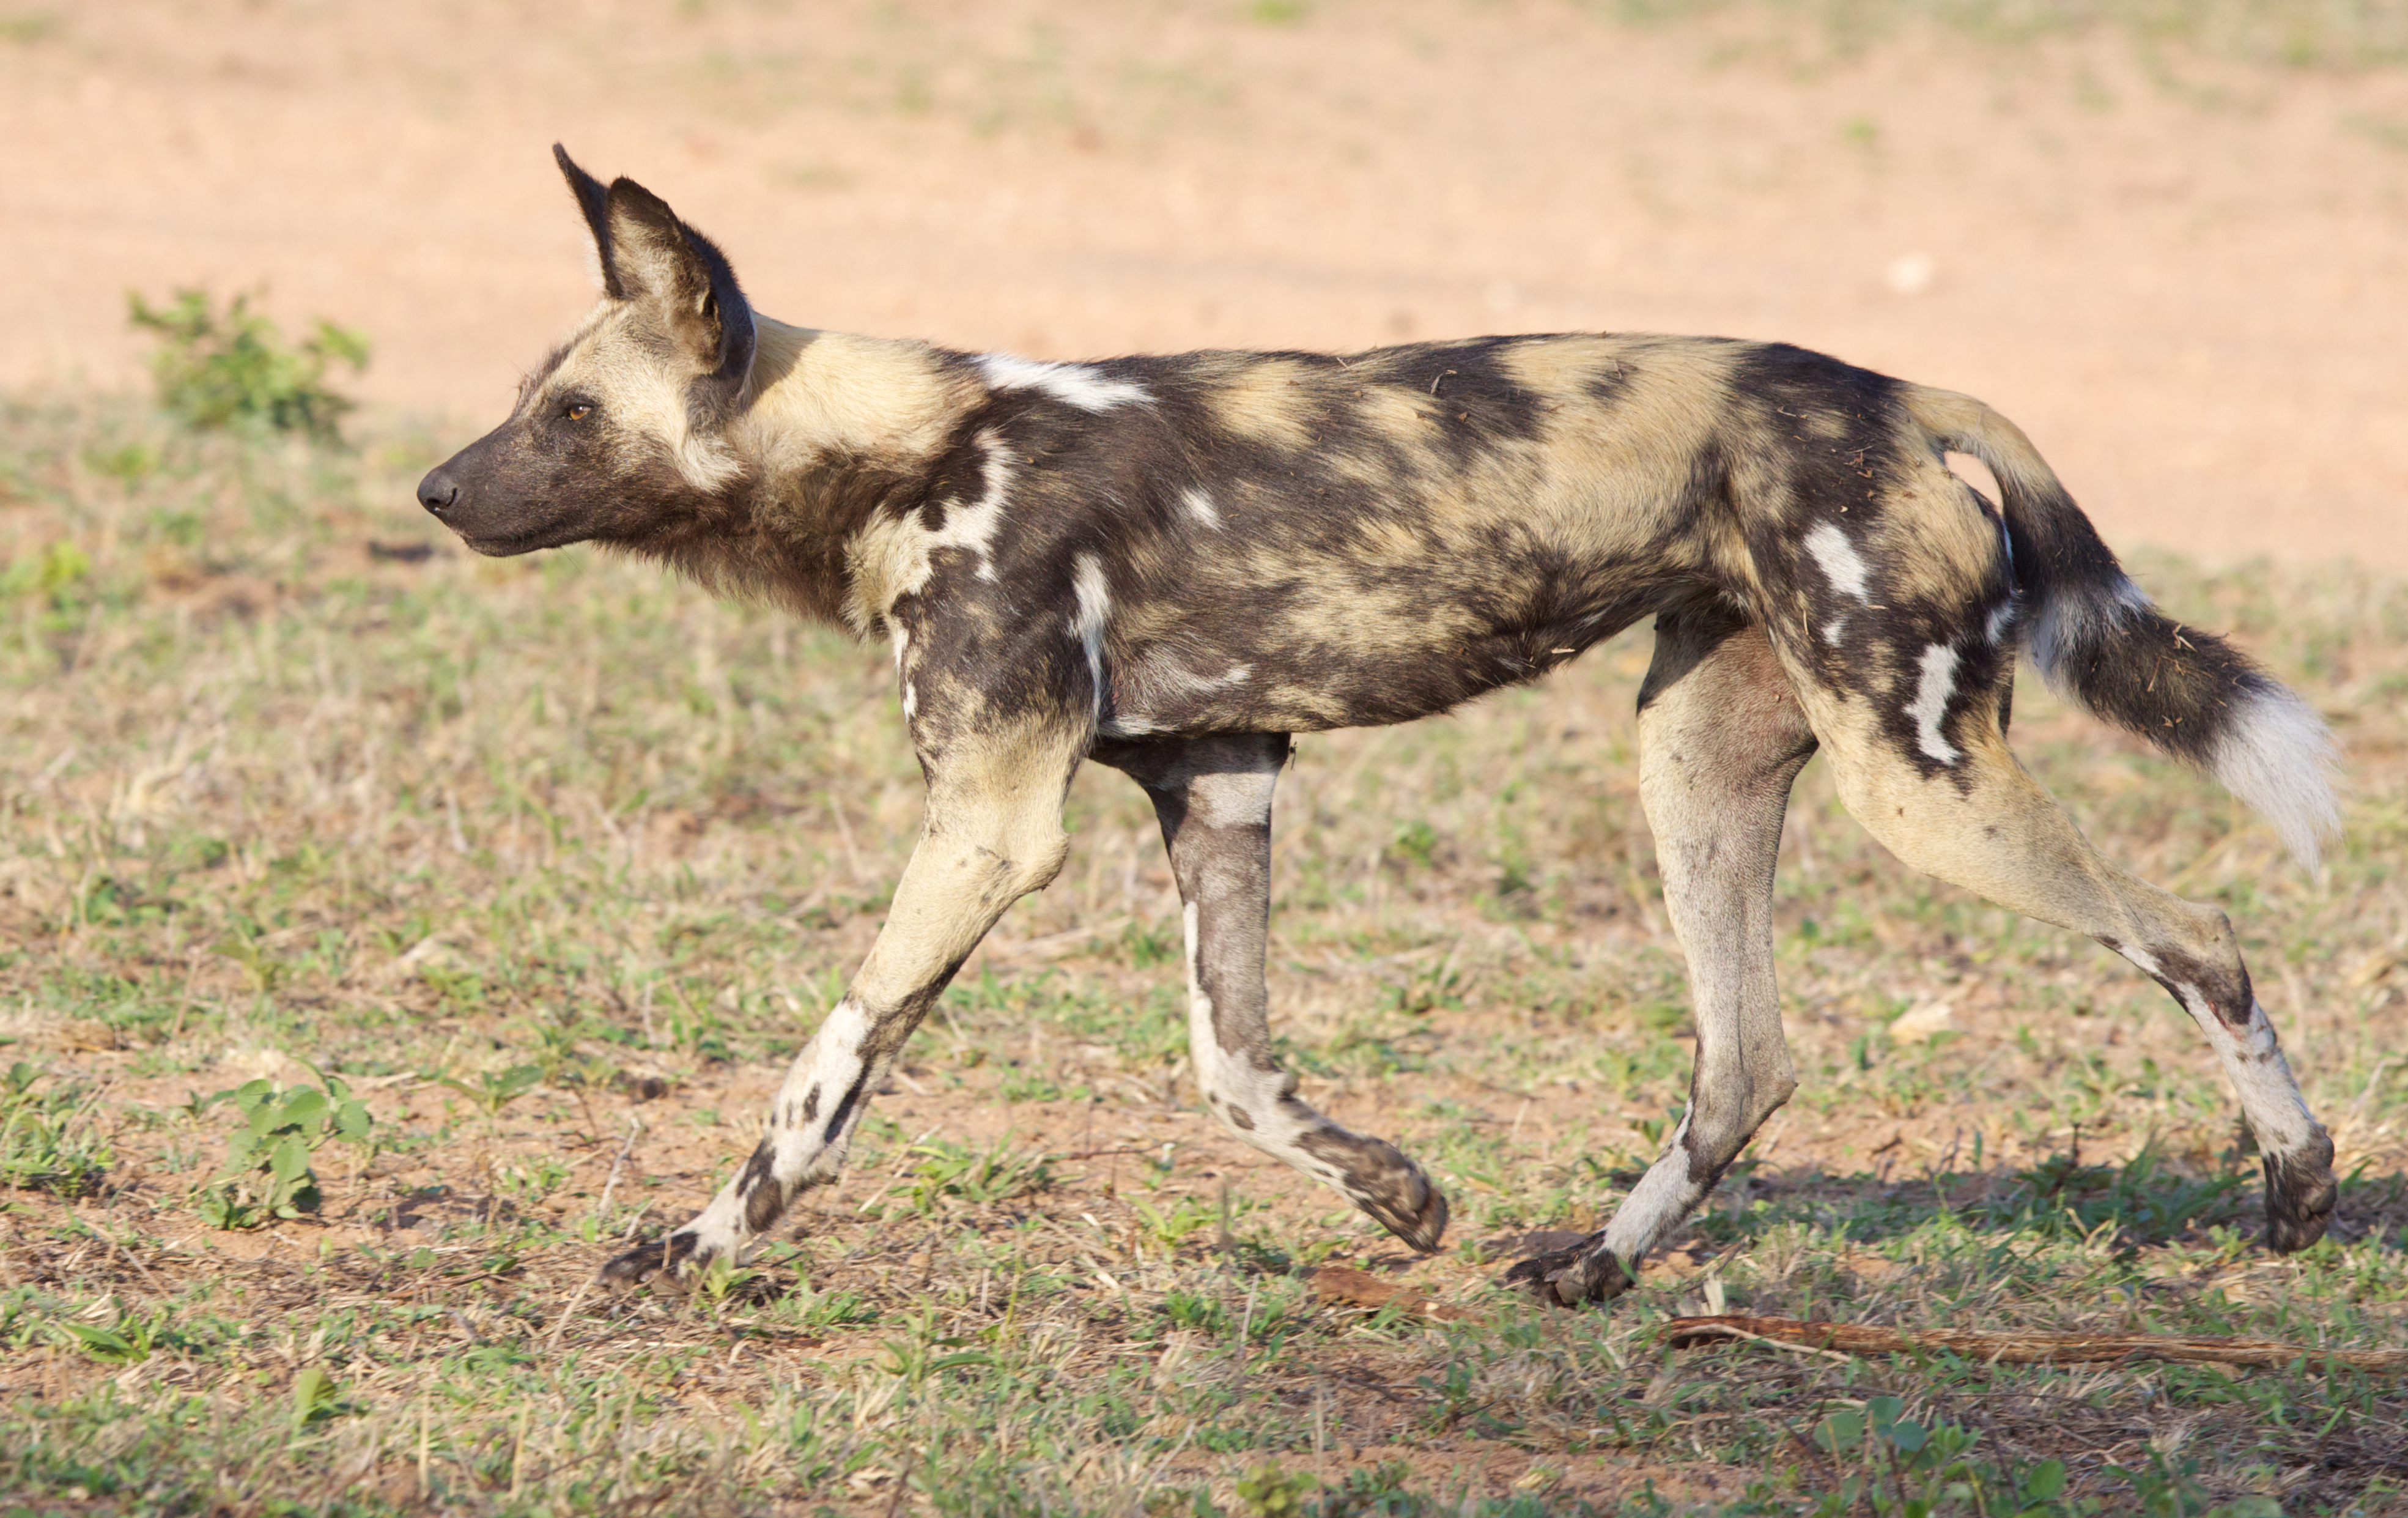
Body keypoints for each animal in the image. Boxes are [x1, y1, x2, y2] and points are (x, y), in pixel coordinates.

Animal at [414, 152, 2330, 1311]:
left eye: (568, 415)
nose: (434, 489)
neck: (905, 451)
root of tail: (1905, 392)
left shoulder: (994, 823)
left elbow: (823, 1069)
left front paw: (694, 1243)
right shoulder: (1218, 783)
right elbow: (1234, 1065)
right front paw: (1397, 1198)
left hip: (1915, 781)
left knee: (2201, 942)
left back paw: (2298, 1191)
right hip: (1700, 762)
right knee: (1746, 1057)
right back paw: (1592, 1269)